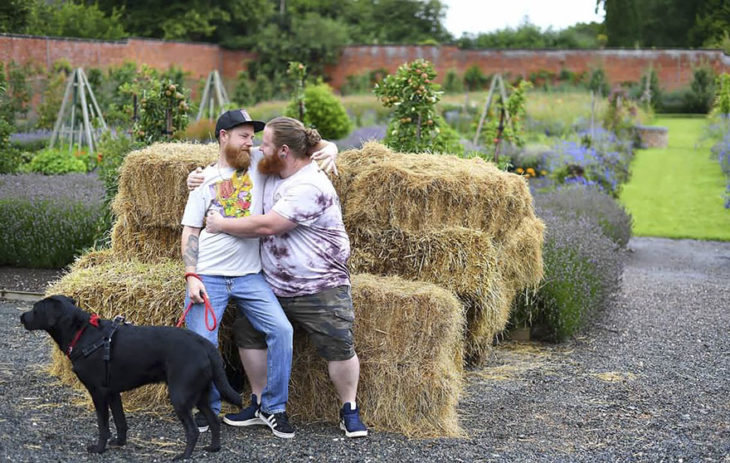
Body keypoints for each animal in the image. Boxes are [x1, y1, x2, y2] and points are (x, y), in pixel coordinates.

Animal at [19, 296, 242, 462]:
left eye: (35, 309)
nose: (21, 316)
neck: (82, 333)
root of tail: (205, 344)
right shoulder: (112, 392)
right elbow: (120, 421)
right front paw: (119, 443)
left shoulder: (98, 392)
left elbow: (103, 425)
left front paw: (99, 448)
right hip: (200, 394)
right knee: (213, 421)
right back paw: (213, 448)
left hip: (180, 396)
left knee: (193, 430)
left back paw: (183, 456)